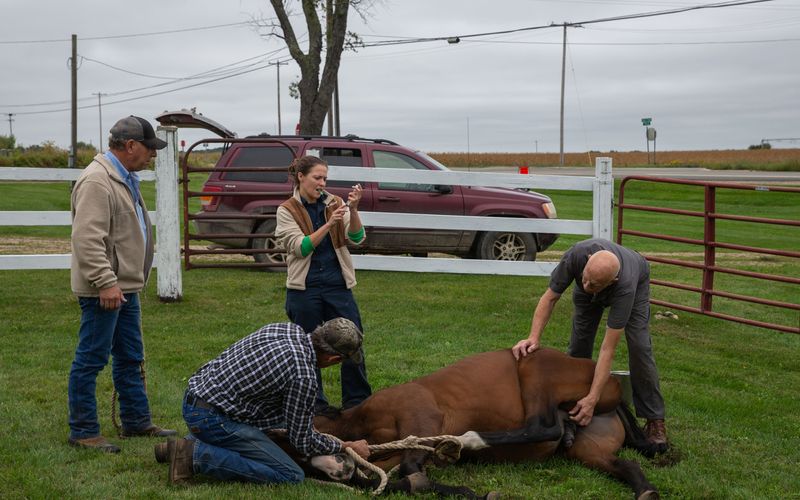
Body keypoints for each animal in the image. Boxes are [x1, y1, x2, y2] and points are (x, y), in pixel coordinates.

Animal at [294, 350, 664, 498]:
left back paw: (467, 440)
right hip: (589, 451)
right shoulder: (394, 452)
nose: (336, 470)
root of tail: (610, 381)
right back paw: (645, 491)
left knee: (543, 426)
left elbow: (413, 469)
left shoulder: (421, 419)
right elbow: (401, 475)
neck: (361, 419)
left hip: (534, 366)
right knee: (626, 463)